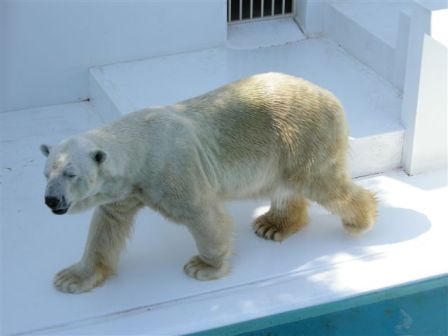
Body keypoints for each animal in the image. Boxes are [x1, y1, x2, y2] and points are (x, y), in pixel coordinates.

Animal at [40, 72, 376, 292]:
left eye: (71, 174)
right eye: (46, 173)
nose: (51, 200)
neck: (141, 147)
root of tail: (331, 96)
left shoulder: (173, 171)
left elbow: (205, 215)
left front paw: (203, 266)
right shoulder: (126, 190)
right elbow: (107, 225)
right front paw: (72, 277)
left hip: (301, 133)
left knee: (322, 182)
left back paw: (361, 220)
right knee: (287, 186)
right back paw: (272, 224)